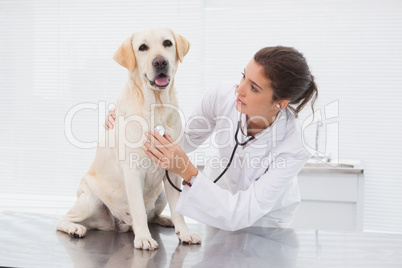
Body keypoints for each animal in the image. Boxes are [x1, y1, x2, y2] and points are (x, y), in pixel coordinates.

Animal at [56, 27, 201, 249]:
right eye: (142, 47)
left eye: (167, 43)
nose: (160, 62)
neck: (156, 106)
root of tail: (119, 225)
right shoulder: (133, 171)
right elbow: (139, 209)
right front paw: (143, 238)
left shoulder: (172, 170)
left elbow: (178, 208)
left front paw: (184, 233)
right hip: (90, 201)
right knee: (63, 219)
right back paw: (75, 228)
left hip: (160, 194)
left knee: (153, 215)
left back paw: (165, 220)